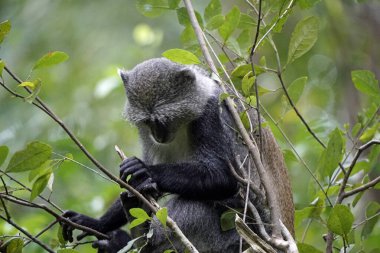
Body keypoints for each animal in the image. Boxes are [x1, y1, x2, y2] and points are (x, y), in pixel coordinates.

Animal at [61, 57, 294, 253]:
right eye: (147, 122)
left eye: (162, 119)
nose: (158, 135)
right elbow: (134, 186)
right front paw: (95, 222)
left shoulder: (210, 113)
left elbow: (223, 178)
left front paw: (144, 171)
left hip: (239, 236)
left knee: (194, 205)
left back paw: (140, 241)